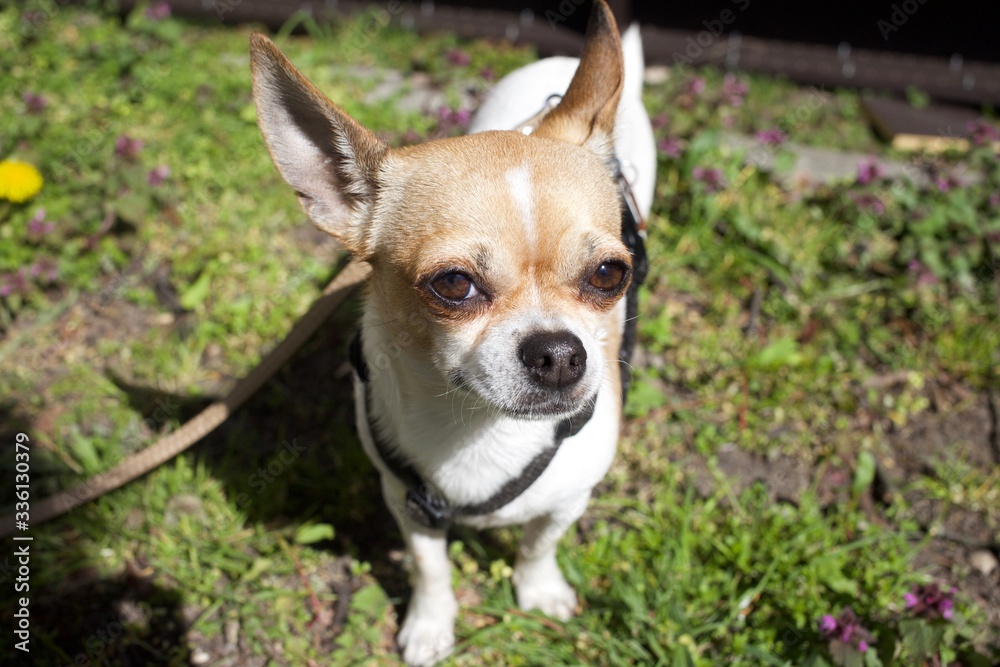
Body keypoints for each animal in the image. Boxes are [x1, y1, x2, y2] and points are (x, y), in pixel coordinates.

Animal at [250, 2, 656, 664]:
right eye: (454, 285)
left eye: (608, 274)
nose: (559, 353)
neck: (480, 430)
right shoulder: (408, 502)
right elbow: (430, 566)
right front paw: (430, 623)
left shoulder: (568, 501)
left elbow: (538, 544)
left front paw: (538, 590)